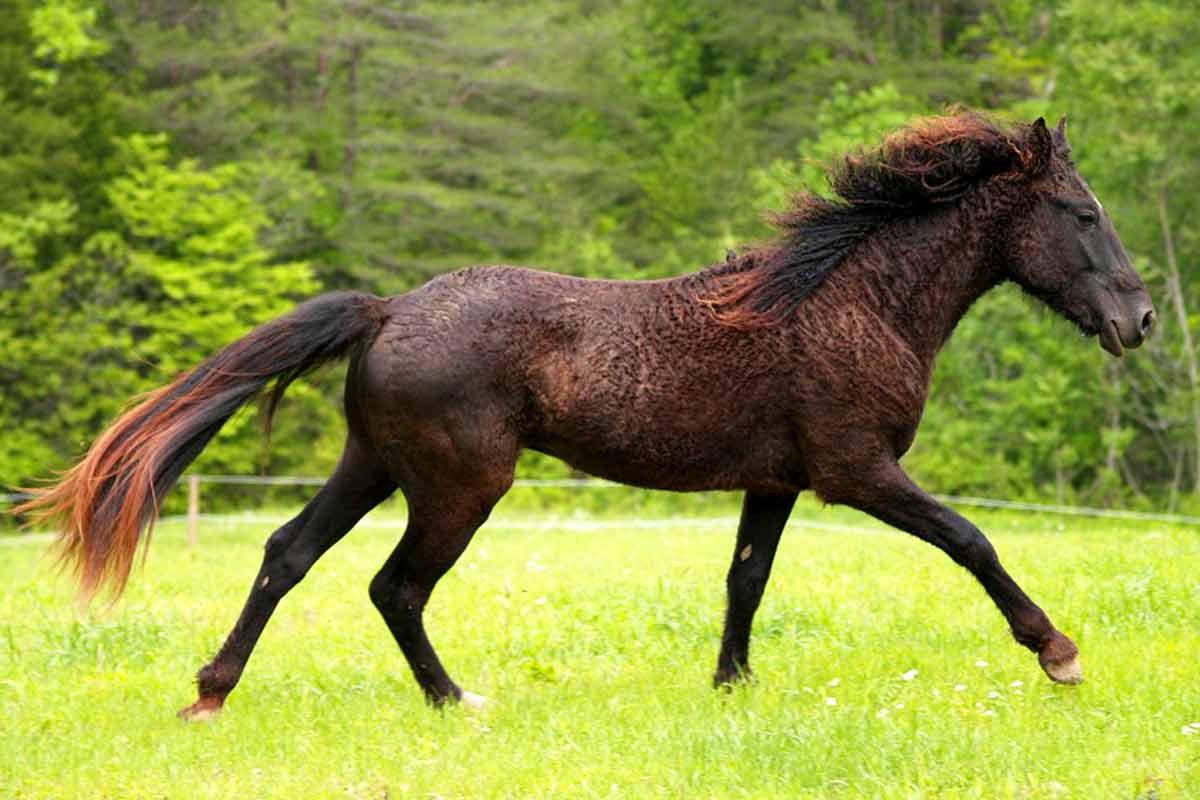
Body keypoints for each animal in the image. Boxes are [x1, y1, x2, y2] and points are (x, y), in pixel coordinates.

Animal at [19, 113, 1155, 719]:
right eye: (1085, 212)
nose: (1140, 319)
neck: (845, 301)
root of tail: (387, 308)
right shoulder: (856, 469)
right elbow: (972, 539)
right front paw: (1058, 651)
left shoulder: (777, 480)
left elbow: (745, 579)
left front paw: (729, 687)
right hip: (462, 485)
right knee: (394, 586)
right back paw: (455, 701)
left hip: (373, 465)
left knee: (287, 553)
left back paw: (212, 691)